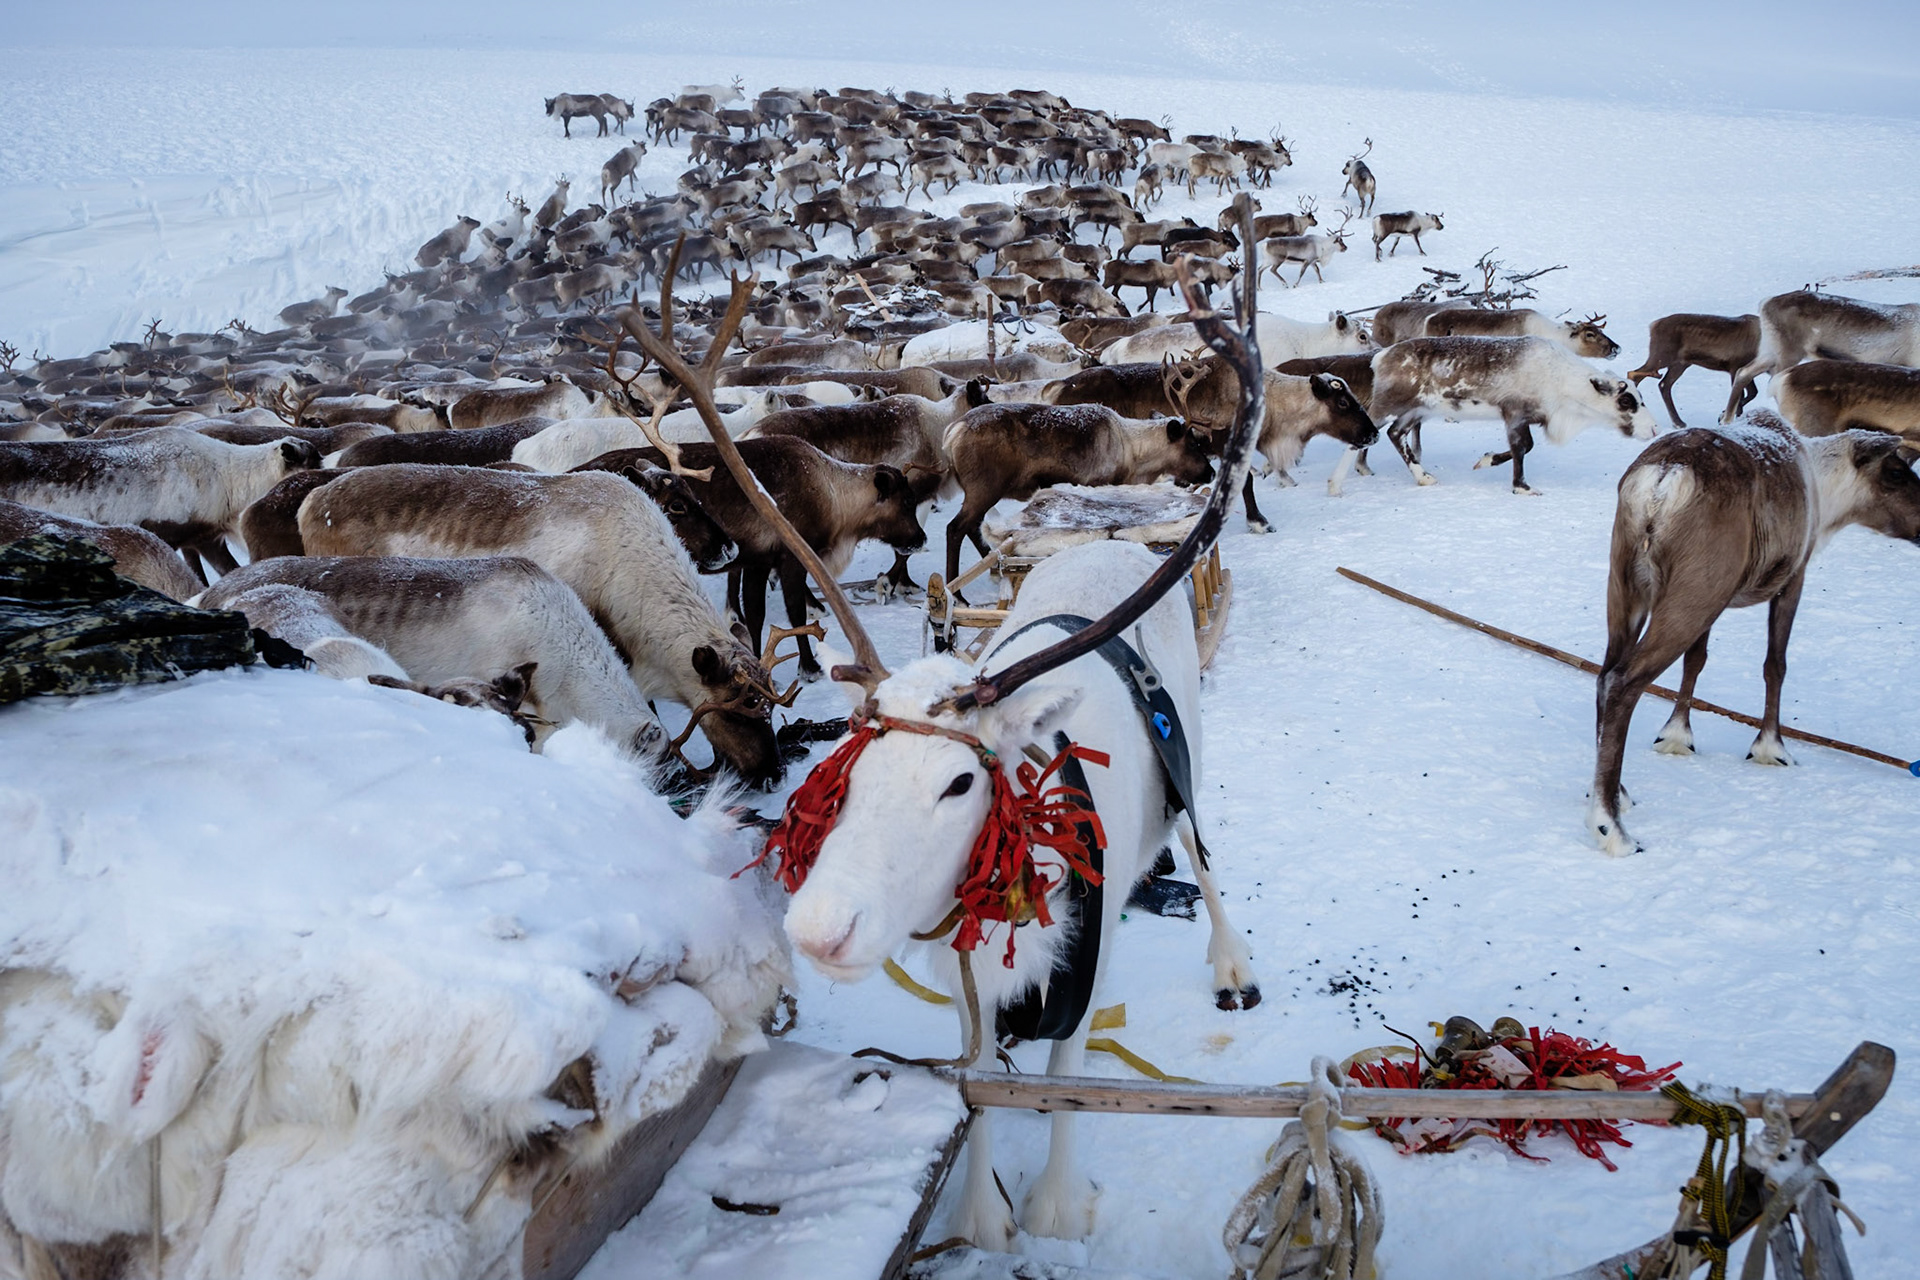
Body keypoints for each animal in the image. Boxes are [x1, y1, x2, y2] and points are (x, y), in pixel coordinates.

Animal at [1587, 413, 1920, 855]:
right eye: (1897, 472)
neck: (1823, 488)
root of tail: (1663, 479)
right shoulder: (1793, 578)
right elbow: (1775, 664)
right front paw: (1771, 748)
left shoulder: (1716, 599)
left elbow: (1696, 661)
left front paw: (1677, 736)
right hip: (1692, 591)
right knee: (1625, 683)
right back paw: (1612, 827)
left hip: (1631, 586)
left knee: (1605, 675)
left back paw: (1617, 793)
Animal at [1626, 312, 1761, 428]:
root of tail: (1653, 325)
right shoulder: (1735, 367)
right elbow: (1741, 394)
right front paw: (1725, 417)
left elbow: (1752, 392)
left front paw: (1725, 415)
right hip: (1662, 356)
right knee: (1633, 374)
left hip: (1680, 364)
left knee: (1663, 384)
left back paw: (1678, 423)